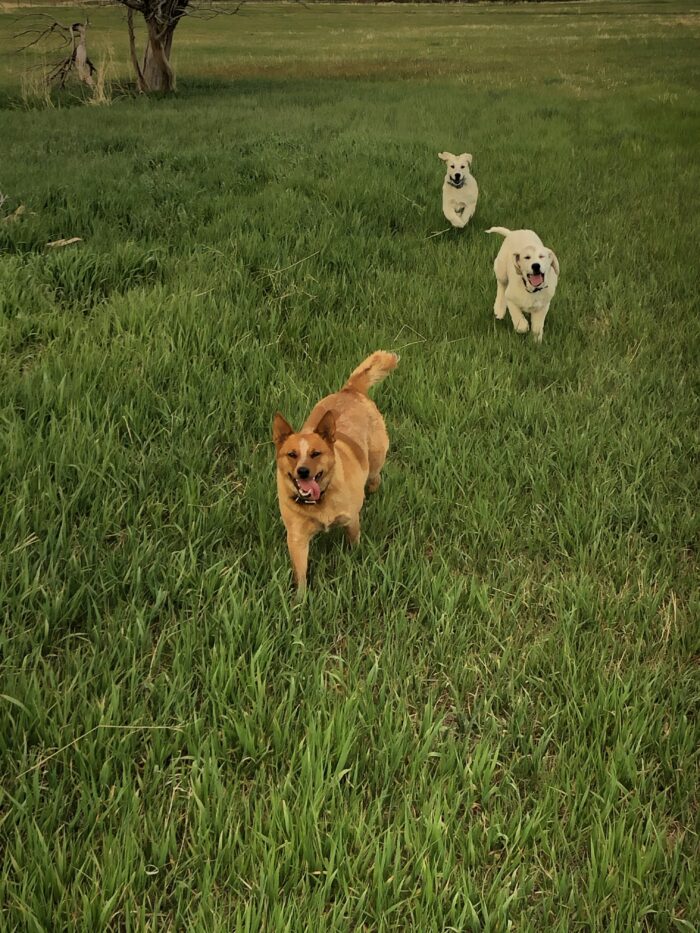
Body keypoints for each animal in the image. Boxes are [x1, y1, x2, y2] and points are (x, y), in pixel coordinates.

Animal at [272, 350, 396, 596]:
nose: (302, 472)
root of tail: (350, 389)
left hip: (376, 459)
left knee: (375, 477)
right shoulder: (297, 538)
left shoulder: (351, 520)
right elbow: (300, 573)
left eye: (315, 453)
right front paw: (300, 599)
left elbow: (354, 542)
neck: (320, 501)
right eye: (291, 454)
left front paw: (355, 561)